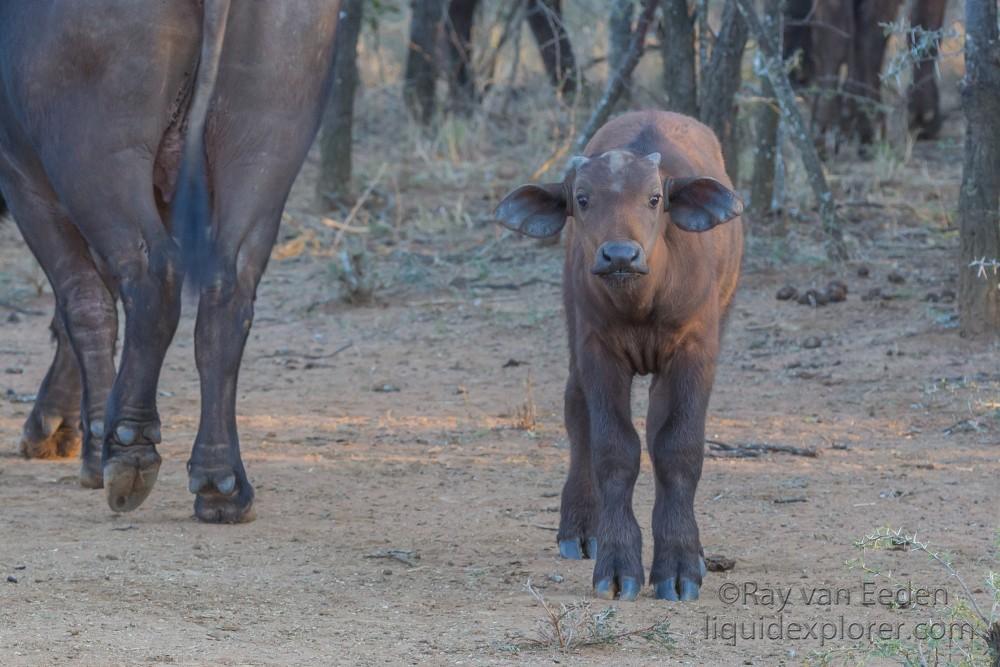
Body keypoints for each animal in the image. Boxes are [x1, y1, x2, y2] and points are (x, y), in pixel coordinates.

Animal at [0, 1, 342, 520]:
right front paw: (59, 425)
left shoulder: (22, 179)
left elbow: (82, 305)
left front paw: (86, 444)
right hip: (263, 145)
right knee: (229, 290)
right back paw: (221, 482)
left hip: (95, 155)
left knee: (149, 277)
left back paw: (128, 449)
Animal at [496, 112, 748, 604]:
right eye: (582, 198)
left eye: (654, 198)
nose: (619, 255)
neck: (641, 300)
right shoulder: (598, 351)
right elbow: (614, 450)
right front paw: (617, 564)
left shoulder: (695, 350)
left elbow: (677, 447)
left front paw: (680, 564)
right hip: (573, 325)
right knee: (577, 410)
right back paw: (579, 528)